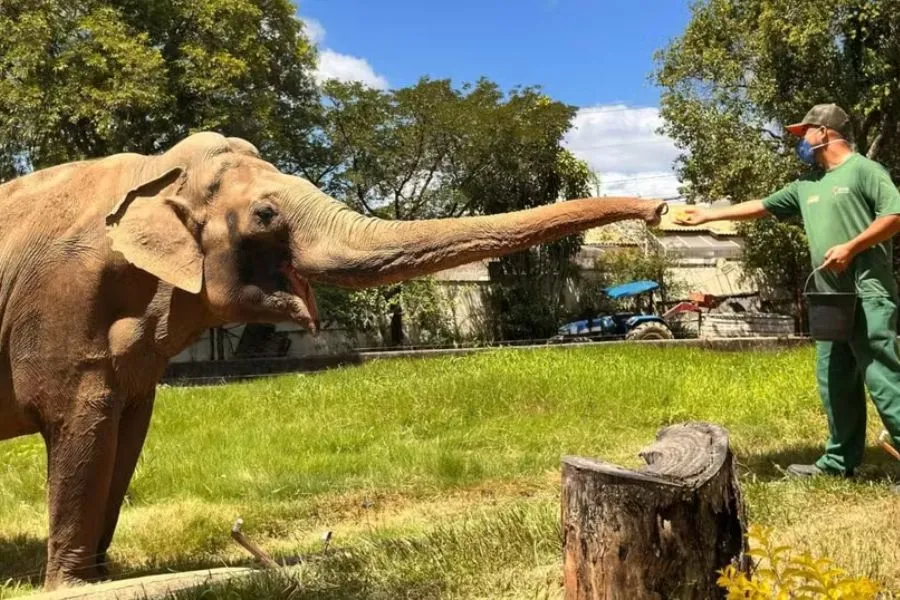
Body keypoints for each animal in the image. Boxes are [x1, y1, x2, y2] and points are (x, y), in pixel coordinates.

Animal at [0, 131, 667, 588]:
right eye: (266, 215)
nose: (659, 210)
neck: (155, 170)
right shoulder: (62, 307)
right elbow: (83, 423)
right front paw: (73, 585)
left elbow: (128, 432)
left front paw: (102, 575)